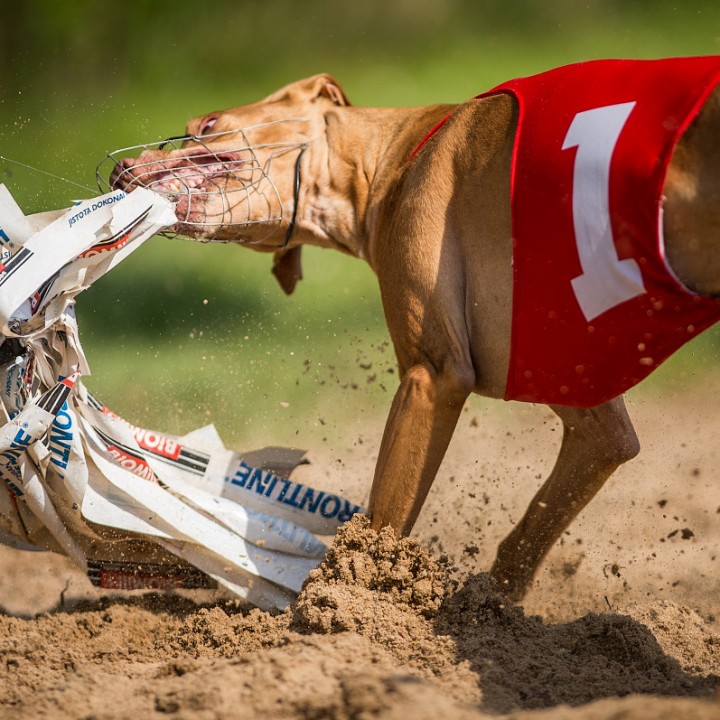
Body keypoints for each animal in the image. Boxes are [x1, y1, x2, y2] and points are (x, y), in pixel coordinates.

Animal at [104, 62, 720, 600]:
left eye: (207, 124)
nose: (118, 170)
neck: (395, 156)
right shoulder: (586, 411)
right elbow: (530, 534)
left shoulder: (433, 377)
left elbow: (378, 531)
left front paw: (336, 614)